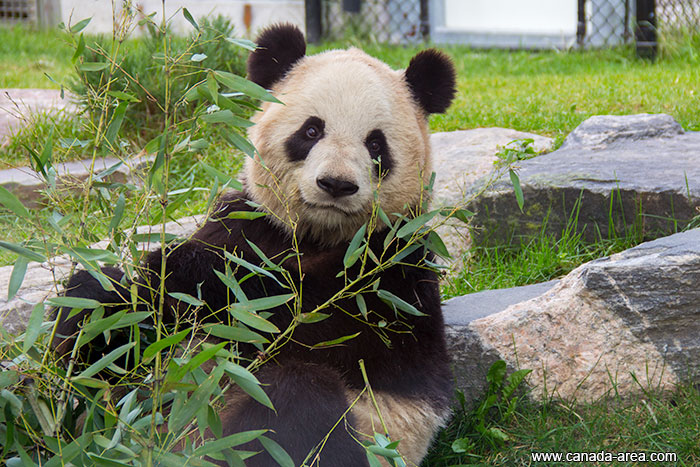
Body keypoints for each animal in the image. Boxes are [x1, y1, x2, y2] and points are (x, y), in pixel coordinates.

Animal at [56, 24, 460, 467]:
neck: (316, 236)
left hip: (370, 437)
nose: (336, 184)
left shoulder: (394, 268)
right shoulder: (246, 222)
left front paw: (190, 272)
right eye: (311, 131)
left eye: (376, 145)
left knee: (297, 402)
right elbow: (132, 319)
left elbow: (307, 320)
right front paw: (113, 293)